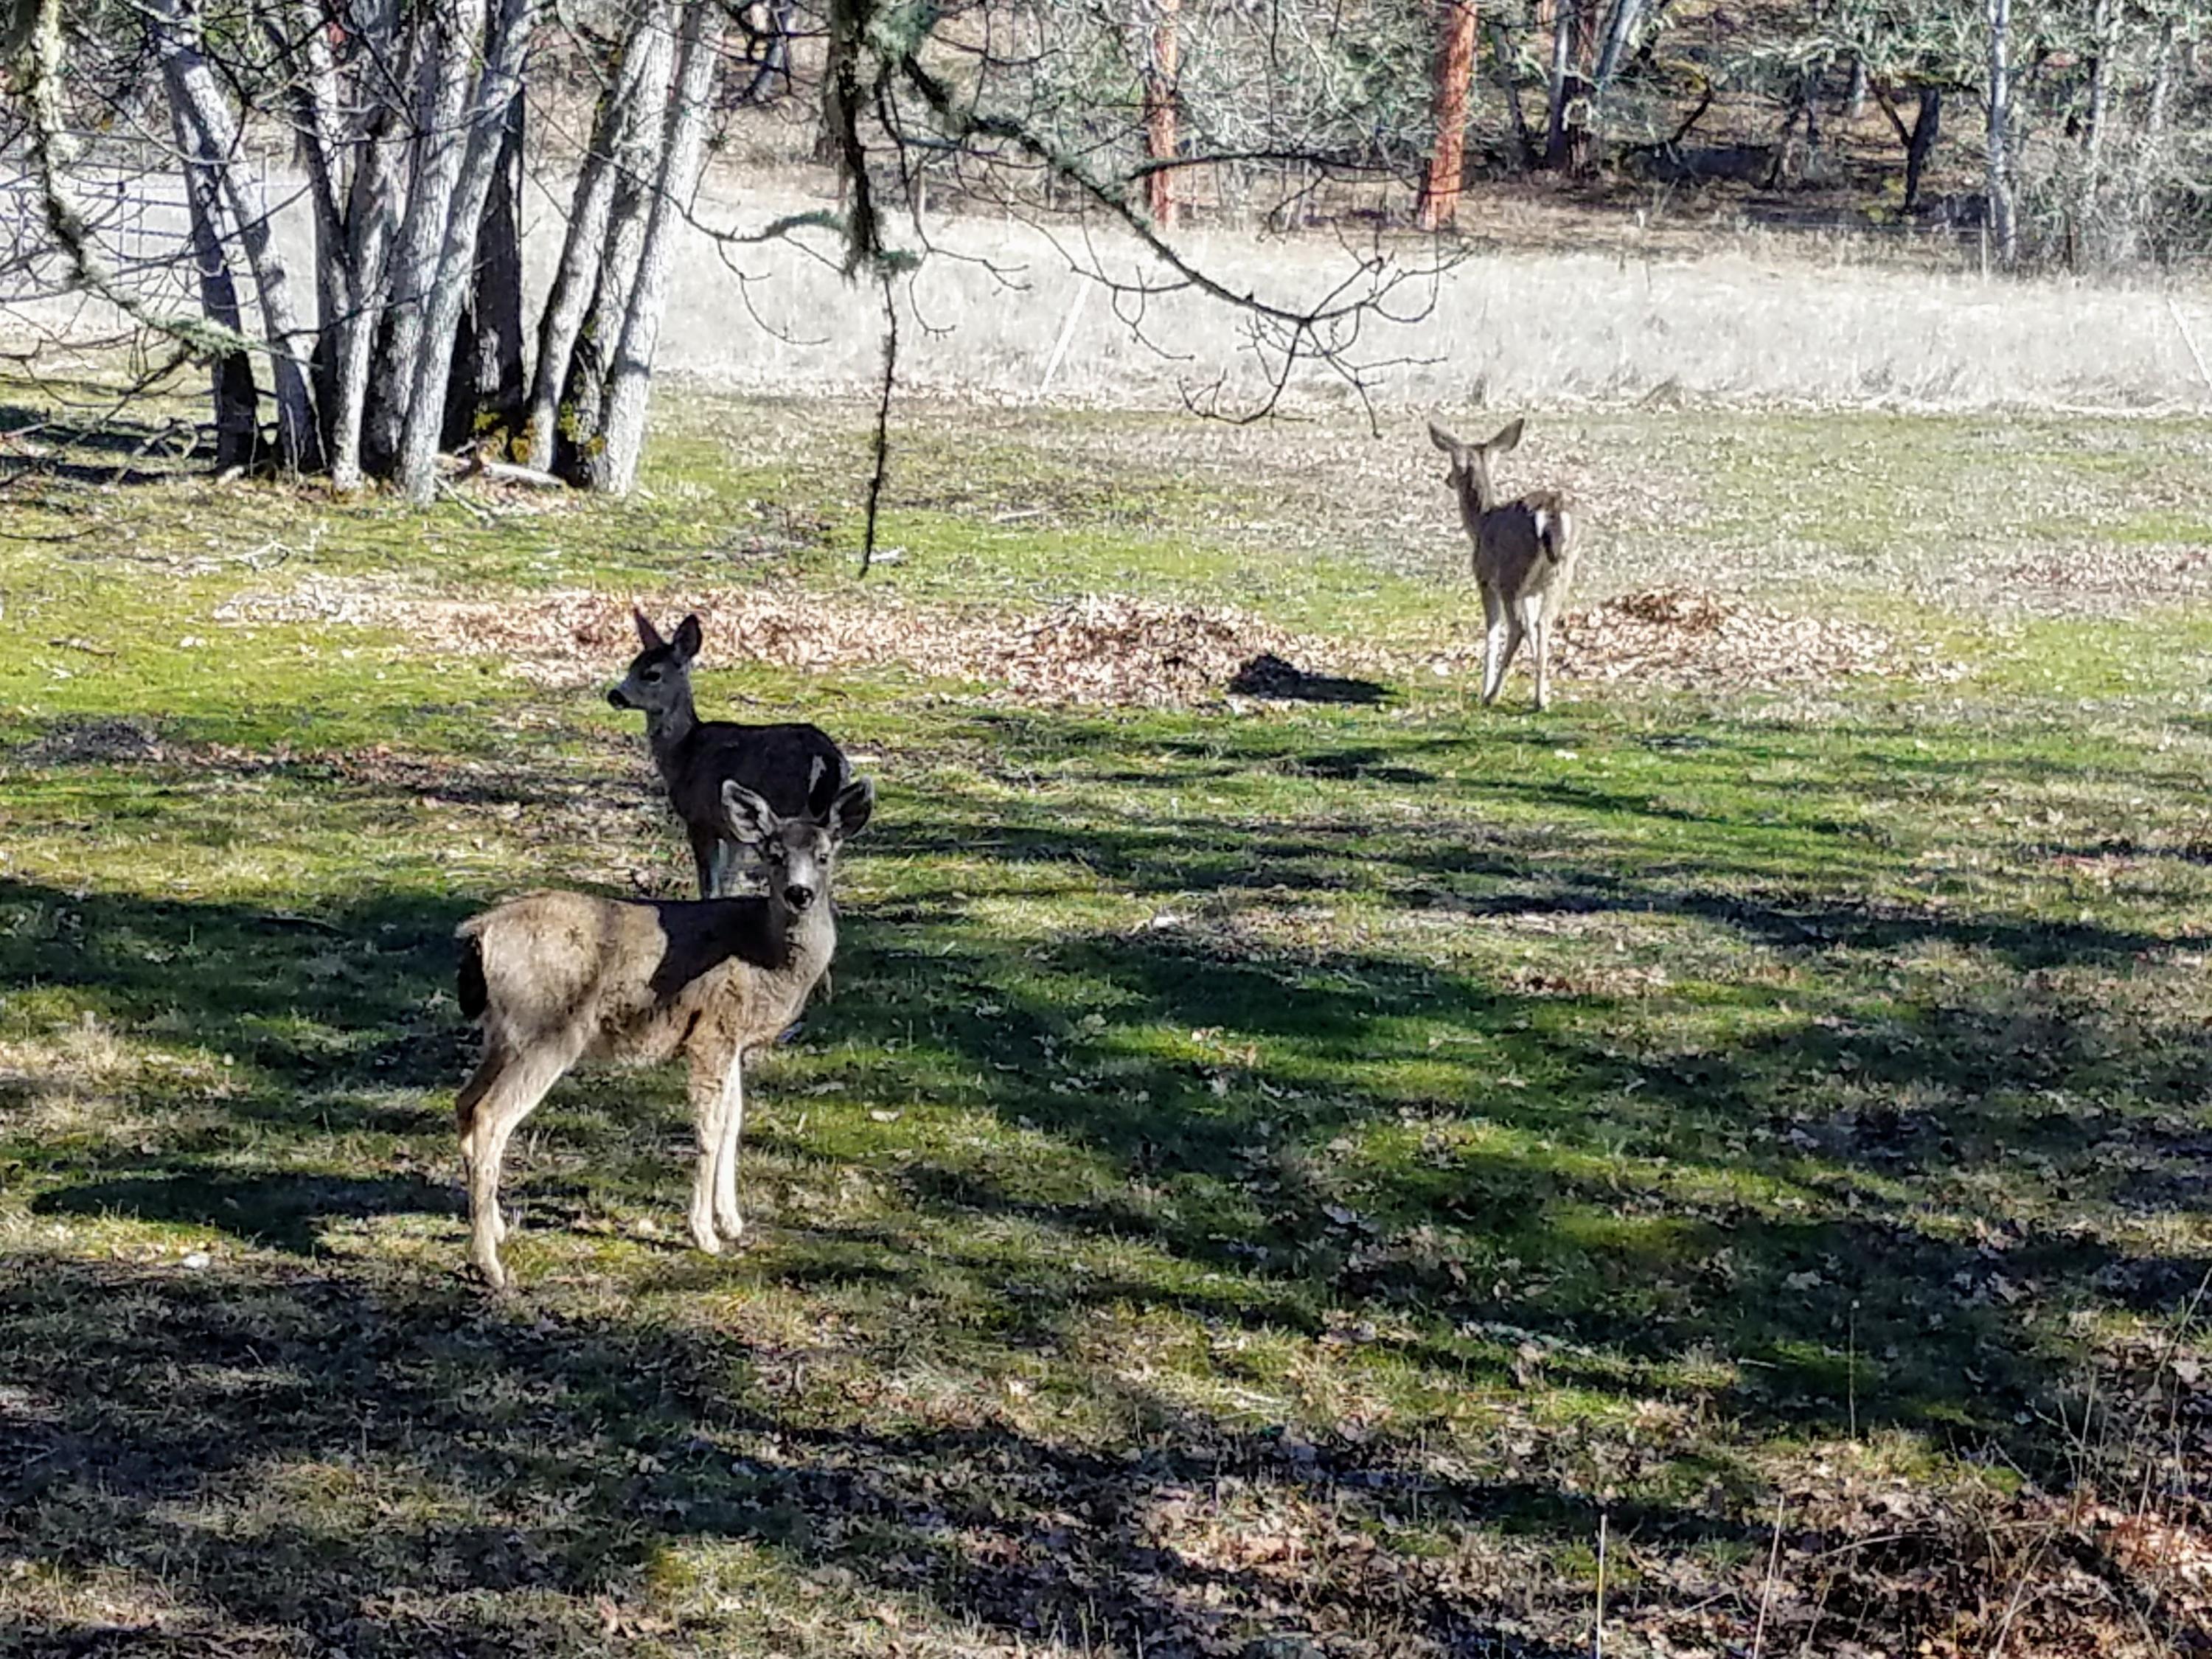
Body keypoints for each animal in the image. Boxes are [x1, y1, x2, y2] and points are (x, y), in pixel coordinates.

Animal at [453, 771, 875, 1289]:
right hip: (548, 1028)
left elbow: (734, 1122)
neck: (765, 957)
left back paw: (495, 1231)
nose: (800, 893)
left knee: (466, 1102)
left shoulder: (734, 1041)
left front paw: (732, 1222)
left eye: (824, 854)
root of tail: (480, 933)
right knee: (492, 1115)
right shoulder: (711, 1030)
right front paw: (705, 1235)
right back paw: (489, 1264)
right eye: (773, 854)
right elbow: (709, 1129)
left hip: (503, 1034)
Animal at [609, 608, 848, 897]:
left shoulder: (699, 820)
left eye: (652, 674)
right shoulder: (733, 834)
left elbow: (710, 886)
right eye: (631, 666)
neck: (684, 751)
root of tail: (827, 759)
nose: (614, 695)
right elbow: (727, 881)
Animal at [1427, 418, 1582, 711]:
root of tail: (1551, 511)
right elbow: (1534, 630)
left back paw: (1493, 695)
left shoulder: (1485, 579)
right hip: (1560, 573)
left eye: (1454, 461)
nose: (1447, 479)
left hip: (1512, 574)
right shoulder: (1531, 592)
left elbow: (1492, 631)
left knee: (1517, 626)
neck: (1480, 523)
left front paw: (1484, 688)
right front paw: (1540, 688)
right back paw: (1541, 700)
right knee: (1543, 624)